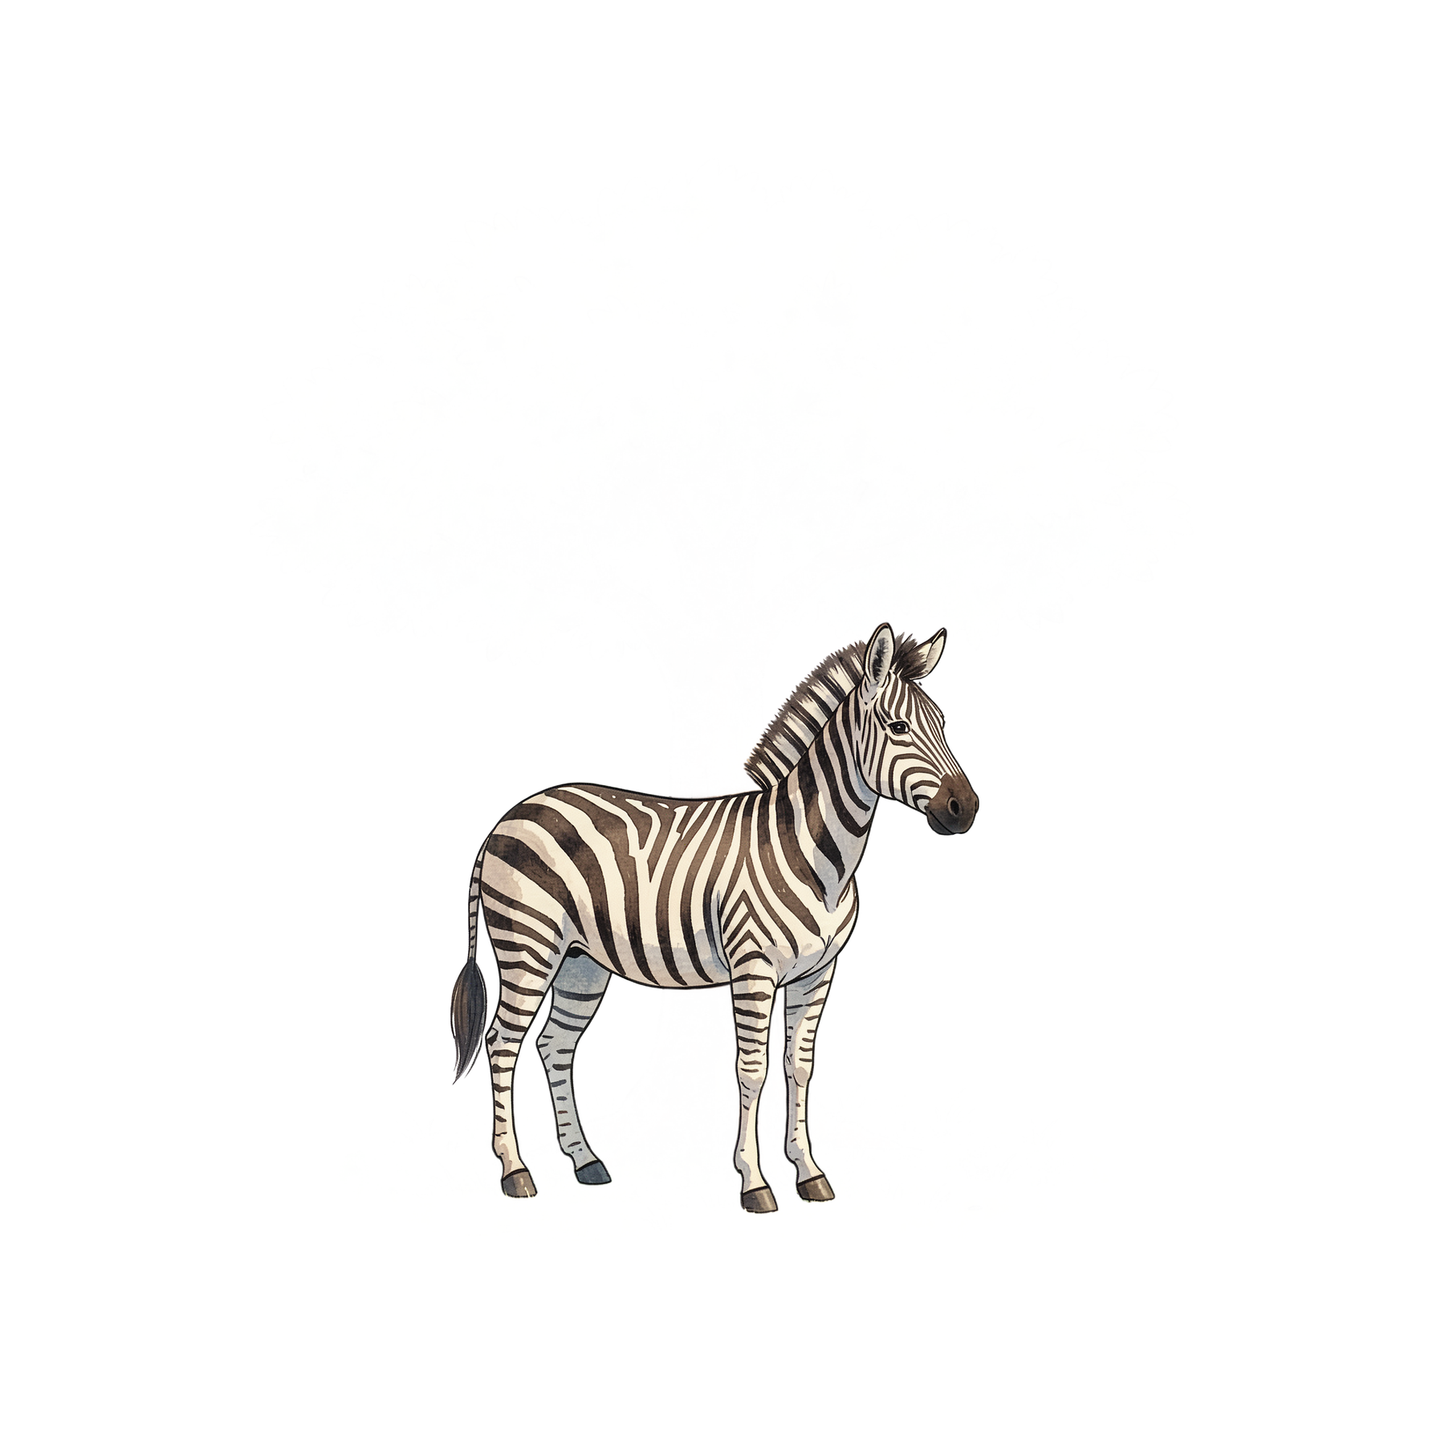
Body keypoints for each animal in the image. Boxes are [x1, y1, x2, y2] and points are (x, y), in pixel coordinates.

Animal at [450, 621, 979, 1211]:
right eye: (898, 727)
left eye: (944, 725)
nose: (966, 809)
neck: (812, 851)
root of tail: (507, 817)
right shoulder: (753, 967)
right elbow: (753, 1070)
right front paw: (755, 1182)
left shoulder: (819, 972)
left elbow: (800, 1066)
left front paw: (809, 1172)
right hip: (528, 944)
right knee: (503, 1044)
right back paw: (515, 1170)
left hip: (580, 961)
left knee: (554, 1045)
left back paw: (585, 1160)